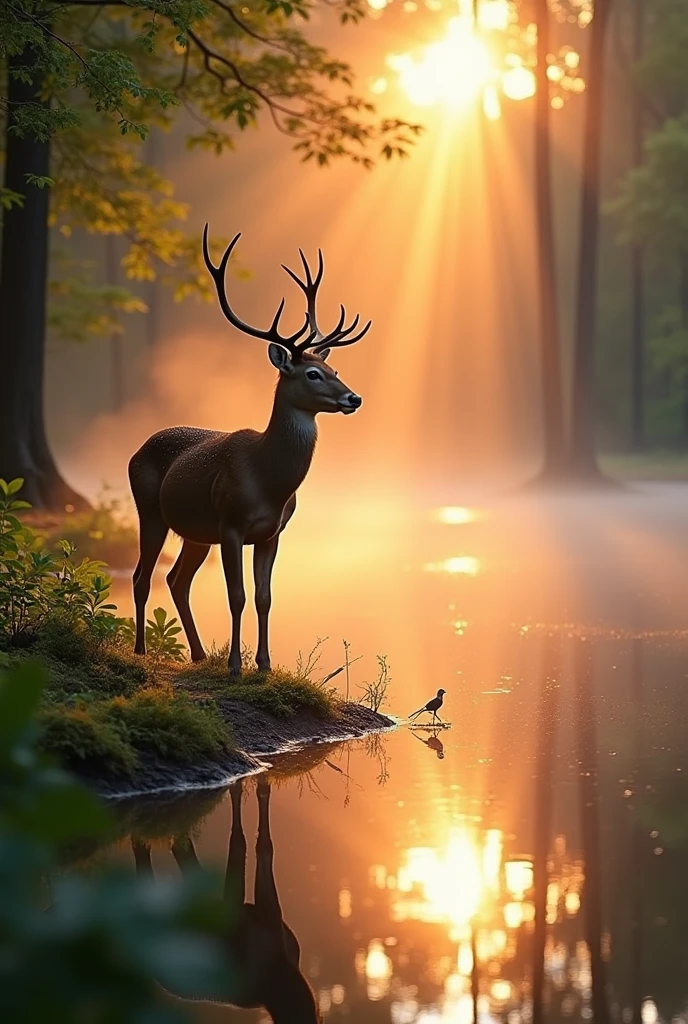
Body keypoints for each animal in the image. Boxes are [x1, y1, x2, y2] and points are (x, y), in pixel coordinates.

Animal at [125, 225, 368, 675]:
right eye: (312, 373)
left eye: (335, 369)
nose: (353, 398)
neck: (268, 480)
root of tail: (136, 450)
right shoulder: (232, 524)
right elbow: (235, 597)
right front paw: (236, 665)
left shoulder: (272, 532)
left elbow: (264, 598)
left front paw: (265, 664)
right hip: (149, 509)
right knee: (141, 576)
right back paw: (140, 651)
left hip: (195, 532)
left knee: (176, 581)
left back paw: (199, 655)